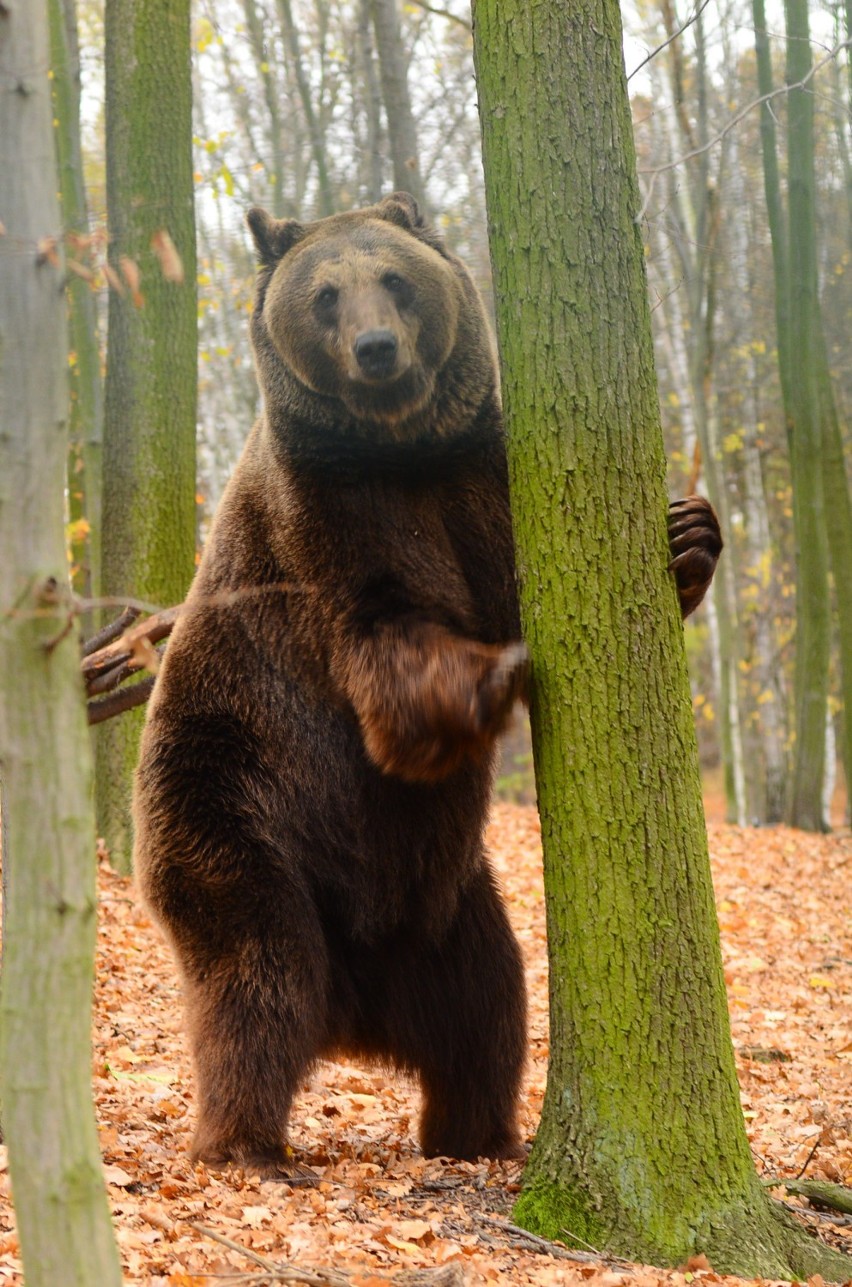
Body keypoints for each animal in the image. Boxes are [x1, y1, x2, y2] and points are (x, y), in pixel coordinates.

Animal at [131, 186, 720, 1178]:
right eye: (326, 295)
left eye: (396, 279)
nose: (377, 348)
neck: (402, 449)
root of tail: (357, 1014)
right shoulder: (329, 522)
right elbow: (389, 642)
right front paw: (502, 670)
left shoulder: (482, 479)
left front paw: (689, 530)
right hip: (232, 802)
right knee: (257, 976)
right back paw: (247, 1142)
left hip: (447, 908)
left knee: (489, 1004)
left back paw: (476, 1132)